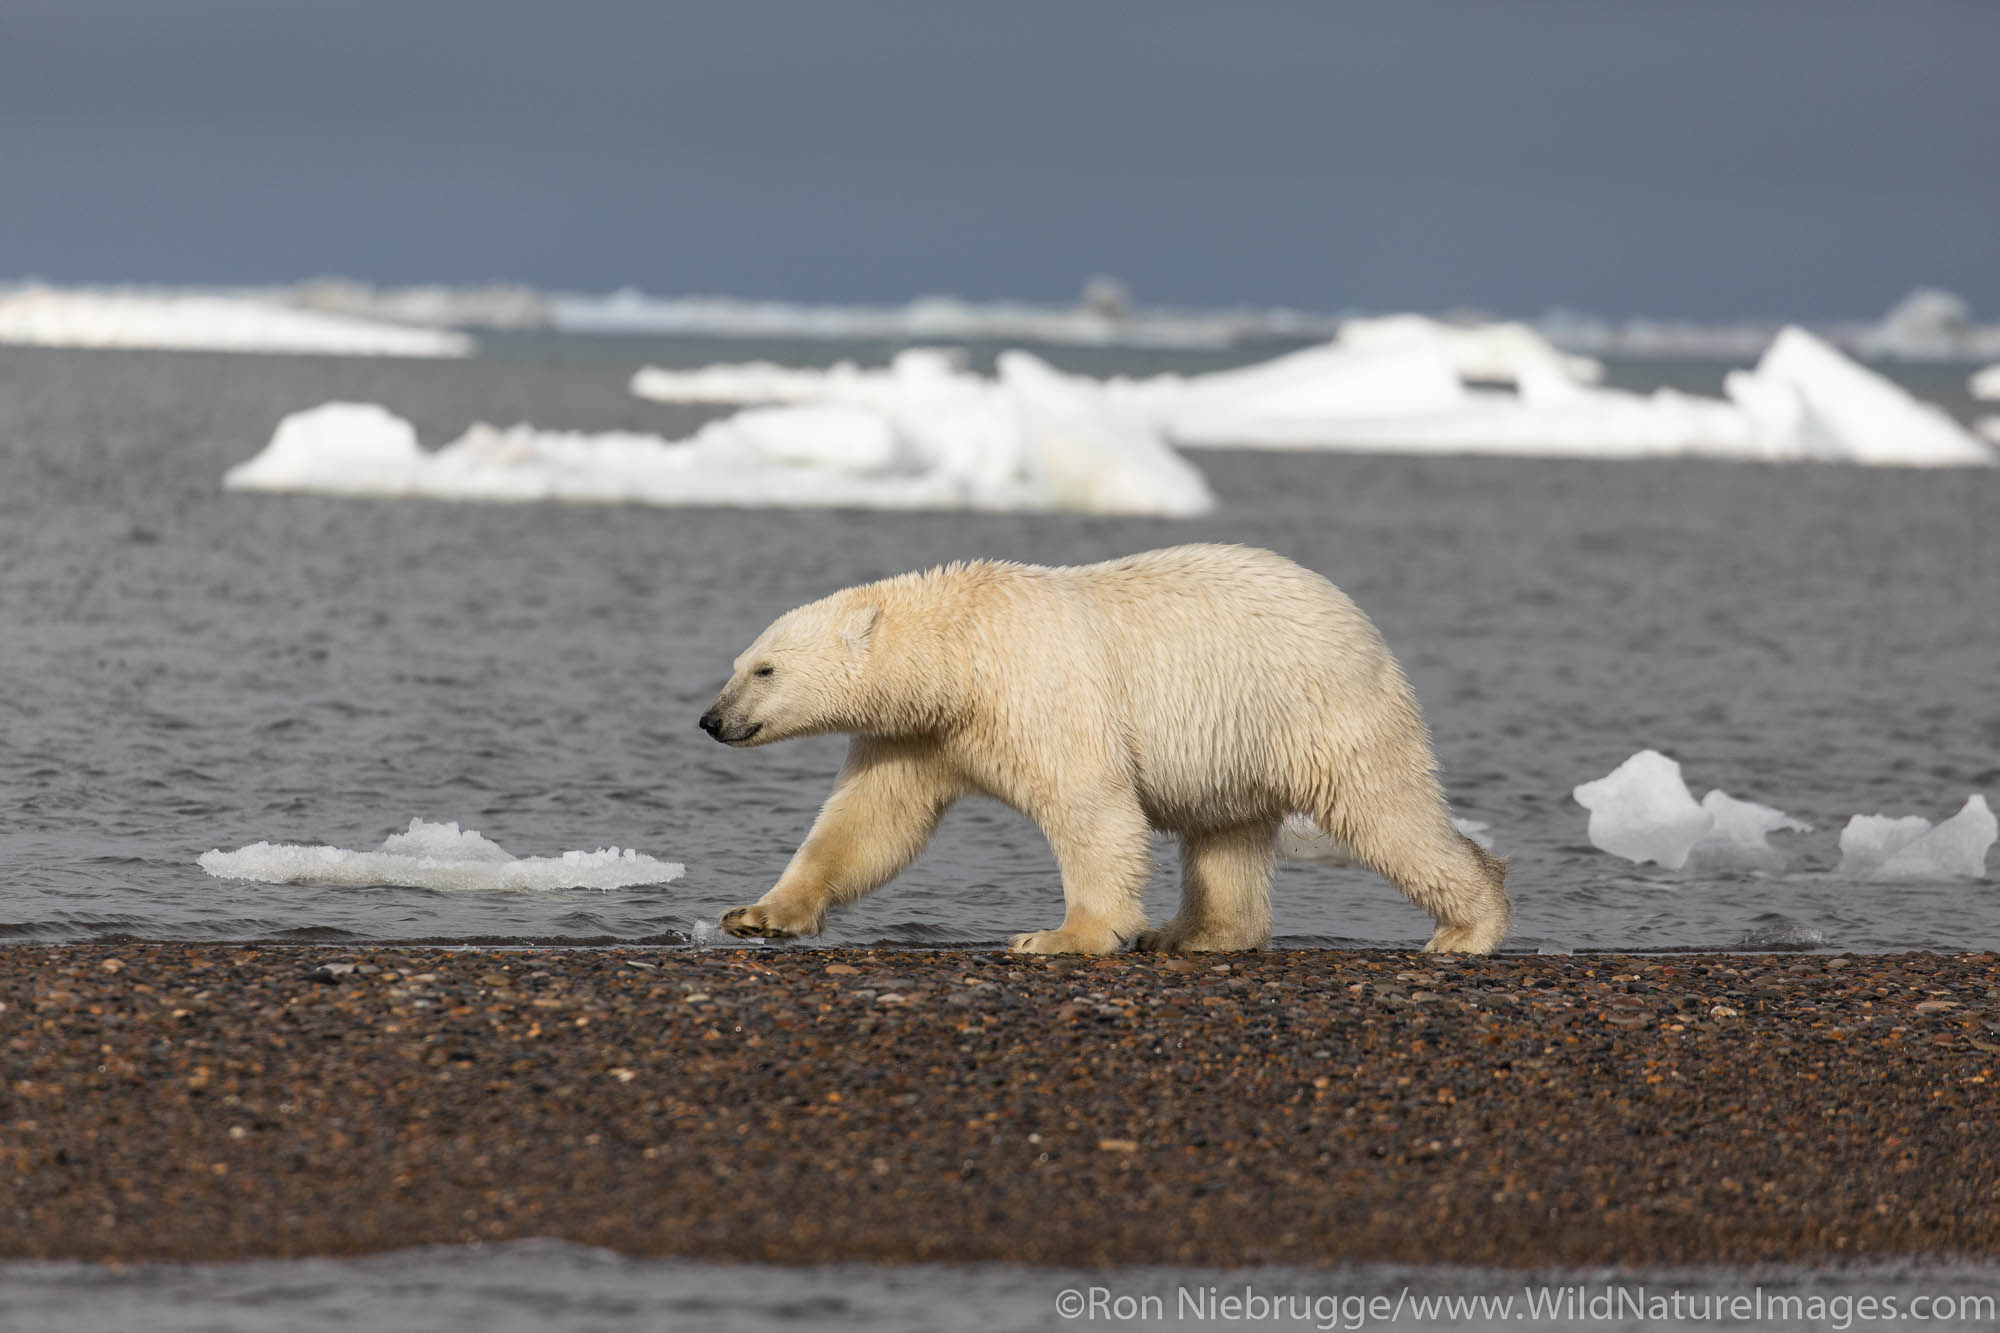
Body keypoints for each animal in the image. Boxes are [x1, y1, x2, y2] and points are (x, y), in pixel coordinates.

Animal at [696, 536, 1504, 944]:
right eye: (737, 664)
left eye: (764, 668)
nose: (712, 719)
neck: (961, 652)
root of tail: (1362, 623)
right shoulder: (922, 734)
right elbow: (867, 822)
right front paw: (757, 914)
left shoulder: (1039, 689)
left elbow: (1091, 805)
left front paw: (1064, 936)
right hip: (1237, 739)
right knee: (1226, 836)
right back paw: (1195, 933)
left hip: (1323, 707)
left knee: (1387, 813)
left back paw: (1469, 924)